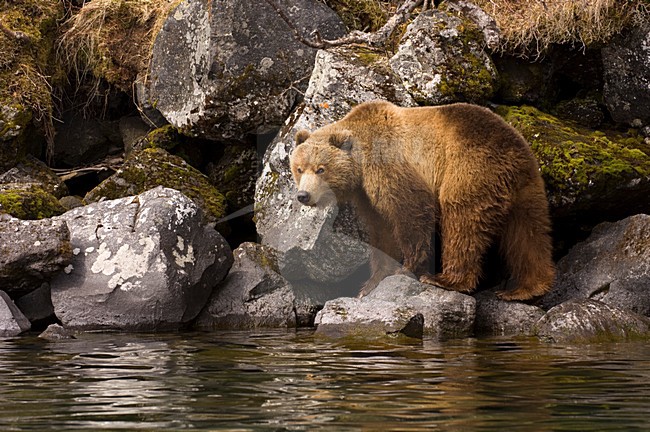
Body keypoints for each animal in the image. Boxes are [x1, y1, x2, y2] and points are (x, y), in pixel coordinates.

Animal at [289, 100, 555, 301]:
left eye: (321, 169)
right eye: (299, 169)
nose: (303, 195)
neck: (361, 162)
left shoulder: (387, 162)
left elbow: (412, 207)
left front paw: (408, 266)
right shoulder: (366, 196)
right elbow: (382, 231)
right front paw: (370, 283)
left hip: (471, 167)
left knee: (462, 218)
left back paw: (446, 279)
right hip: (528, 188)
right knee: (529, 234)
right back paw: (527, 288)